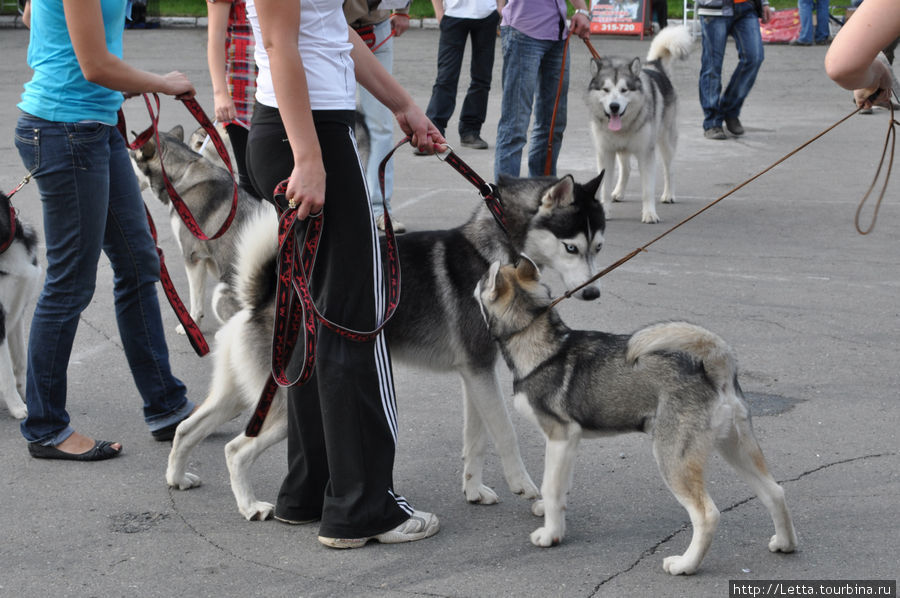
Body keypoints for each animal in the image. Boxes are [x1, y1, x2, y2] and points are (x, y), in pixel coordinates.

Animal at [129, 125, 270, 336]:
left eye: (129, 156)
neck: (180, 175)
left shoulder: (193, 257)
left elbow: (195, 300)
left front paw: (191, 324)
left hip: (221, 294)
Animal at [167, 172, 604, 520]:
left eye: (598, 246)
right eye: (571, 247)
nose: (594, 293)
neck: (489, 253)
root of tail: (262, 298)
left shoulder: (475, 374)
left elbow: (476, 440)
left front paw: (474, 490)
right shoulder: (481, 373)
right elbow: (505, 433)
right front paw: (524, 485)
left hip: (241, 398)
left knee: (187, 429)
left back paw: (176, 477)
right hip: (283, 409)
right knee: (235, 451)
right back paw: (249, 506)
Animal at [474, 262, 800, 576]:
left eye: (484, 277)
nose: (475, 279)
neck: (538, 341)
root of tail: (715, 369)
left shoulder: (559, 437)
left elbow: (551, 488)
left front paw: (550, 535)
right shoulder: (568, 444)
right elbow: (560, 487)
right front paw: (552, 518)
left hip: (673, 460)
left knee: (707, 515)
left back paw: (685, 565)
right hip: (736, 449)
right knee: (775, 491)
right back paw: (785, 543)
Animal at [584, 24, 696, 224]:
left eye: (624, 90)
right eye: (605, 90)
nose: (614, 107)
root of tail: (655, 66)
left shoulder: (646, 154)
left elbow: (647, 190)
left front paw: (650, 213)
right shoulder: (605, 152)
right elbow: (604, 187)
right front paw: (605, 210)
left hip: (666, 141)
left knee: (669, 169)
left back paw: (669, 194)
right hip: (623, 149)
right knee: (626, 169)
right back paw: (618, 192)